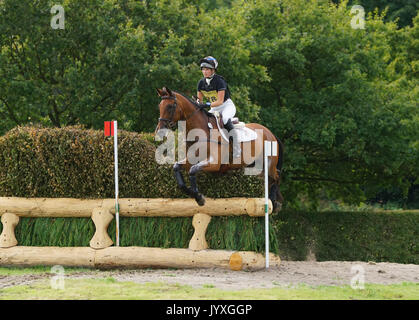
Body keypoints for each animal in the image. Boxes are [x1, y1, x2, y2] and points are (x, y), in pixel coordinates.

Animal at [154, 87, 286, 212]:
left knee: (276, 177)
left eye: (170, 106)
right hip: (255, 167)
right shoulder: (191, 159)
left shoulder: (214, 163)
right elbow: (177, 168)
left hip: (268, 165)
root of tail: (271, 133)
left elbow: (193, 170)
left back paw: (275, 202)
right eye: (159, 106)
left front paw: (199, 197)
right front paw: (196, 195)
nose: (159, 131)